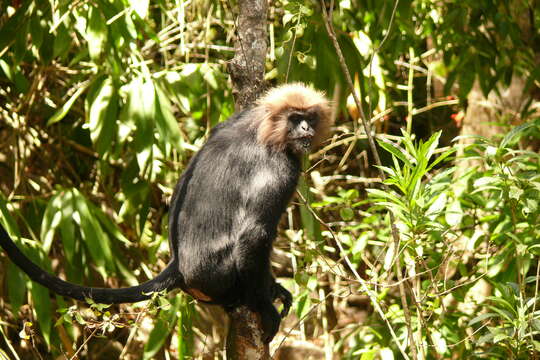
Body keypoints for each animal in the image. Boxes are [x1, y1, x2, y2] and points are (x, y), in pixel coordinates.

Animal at [0, 82, 334, 344]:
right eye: (295, 119)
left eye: (309, 118)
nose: (306, 128)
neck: (261, 127)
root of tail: (177, 265)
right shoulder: (283, 169)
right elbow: (254, 235)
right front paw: (266, 305)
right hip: (219, 277)